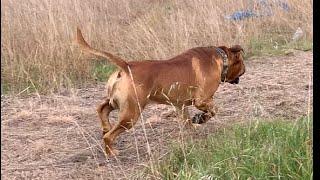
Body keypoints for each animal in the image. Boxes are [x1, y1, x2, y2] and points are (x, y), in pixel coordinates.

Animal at [76, 27, 246, 155]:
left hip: (118, 103)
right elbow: (214, 110)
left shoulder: (180, 105)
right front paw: (200, 119)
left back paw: (105, 126)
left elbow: (187, 120)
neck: (221, 58)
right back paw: (111, 152)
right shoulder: (202, 100)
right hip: (131, 112)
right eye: (242, 62)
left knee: (102, 109)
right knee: (108, 136)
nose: (245, 70)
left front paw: (192, 128)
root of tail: (126, 66)